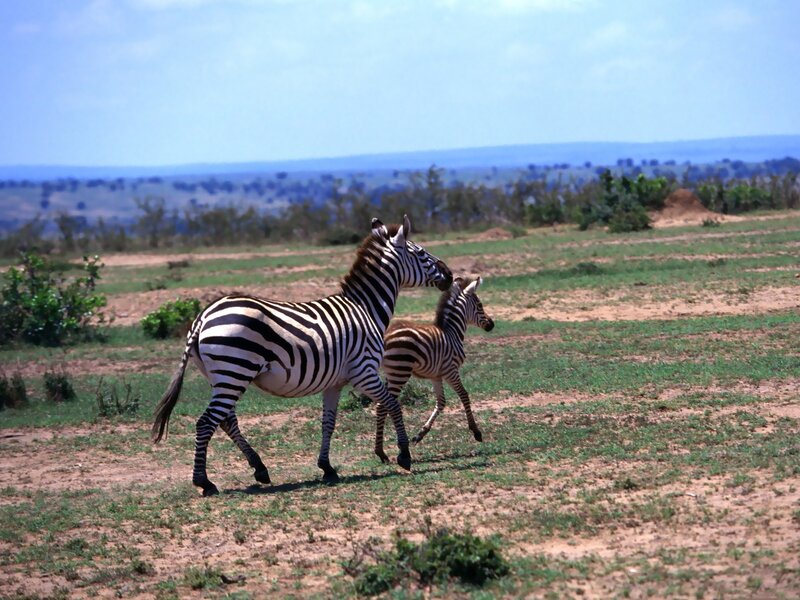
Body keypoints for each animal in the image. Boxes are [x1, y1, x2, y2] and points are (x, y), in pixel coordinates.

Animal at [151, 216, 453, 496]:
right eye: (422, 253)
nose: (449, 274)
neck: (365, 308)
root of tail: (203, 317)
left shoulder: (335, 381)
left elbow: (328, 423)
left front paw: (327, 467)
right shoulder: (364, 370)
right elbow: (392, 404)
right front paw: (403, 455)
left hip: (221, 375)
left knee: (226, 420)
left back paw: (259, 469)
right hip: (235, 371)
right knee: (206, 423)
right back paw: (205, 482)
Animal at [373, 276, 494, 463]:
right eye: (480, 305)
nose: (491, 325)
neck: (452, 333)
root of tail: (385, 336)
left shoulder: (436, 375)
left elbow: (441, 402)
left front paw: (420, 434)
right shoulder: (451, 370)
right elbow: (464, 395)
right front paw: (476, 431)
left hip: (392, 372)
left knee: (383, 404)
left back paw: (381, 451)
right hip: (400, 372)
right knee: (382, 405)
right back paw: (381, 452)